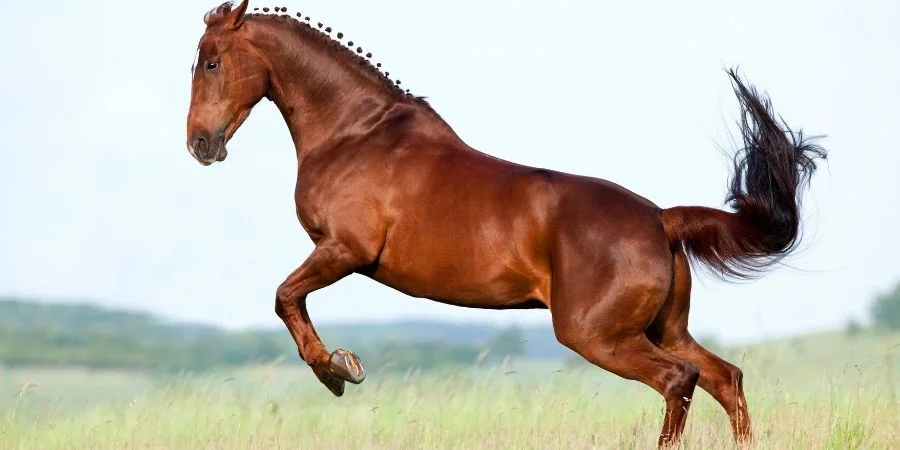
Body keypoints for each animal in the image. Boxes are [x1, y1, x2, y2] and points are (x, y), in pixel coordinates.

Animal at [185, 2, 826, 447]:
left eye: (212, 62)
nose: (200, 145)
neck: (356, 133)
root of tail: (659, 219)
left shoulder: (343, 250)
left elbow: (285, 297)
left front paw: (338, 371)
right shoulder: (338, 253)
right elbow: (287, 299)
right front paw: (340, 368)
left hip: (597, 335)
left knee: (680, 380)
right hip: (661, 328)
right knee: (725, 378)